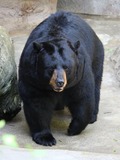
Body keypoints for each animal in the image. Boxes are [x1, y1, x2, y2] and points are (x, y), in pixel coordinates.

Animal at [18, 10, 103, 146]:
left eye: (66, 67)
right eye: (50, 68)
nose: (60, 82)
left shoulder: (79, 75)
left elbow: (83, 97)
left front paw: (72, 129)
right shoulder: (33, 78)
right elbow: (37, 104)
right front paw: (46, 138)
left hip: (97, 54)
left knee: (96, 83)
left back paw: (92, 117)